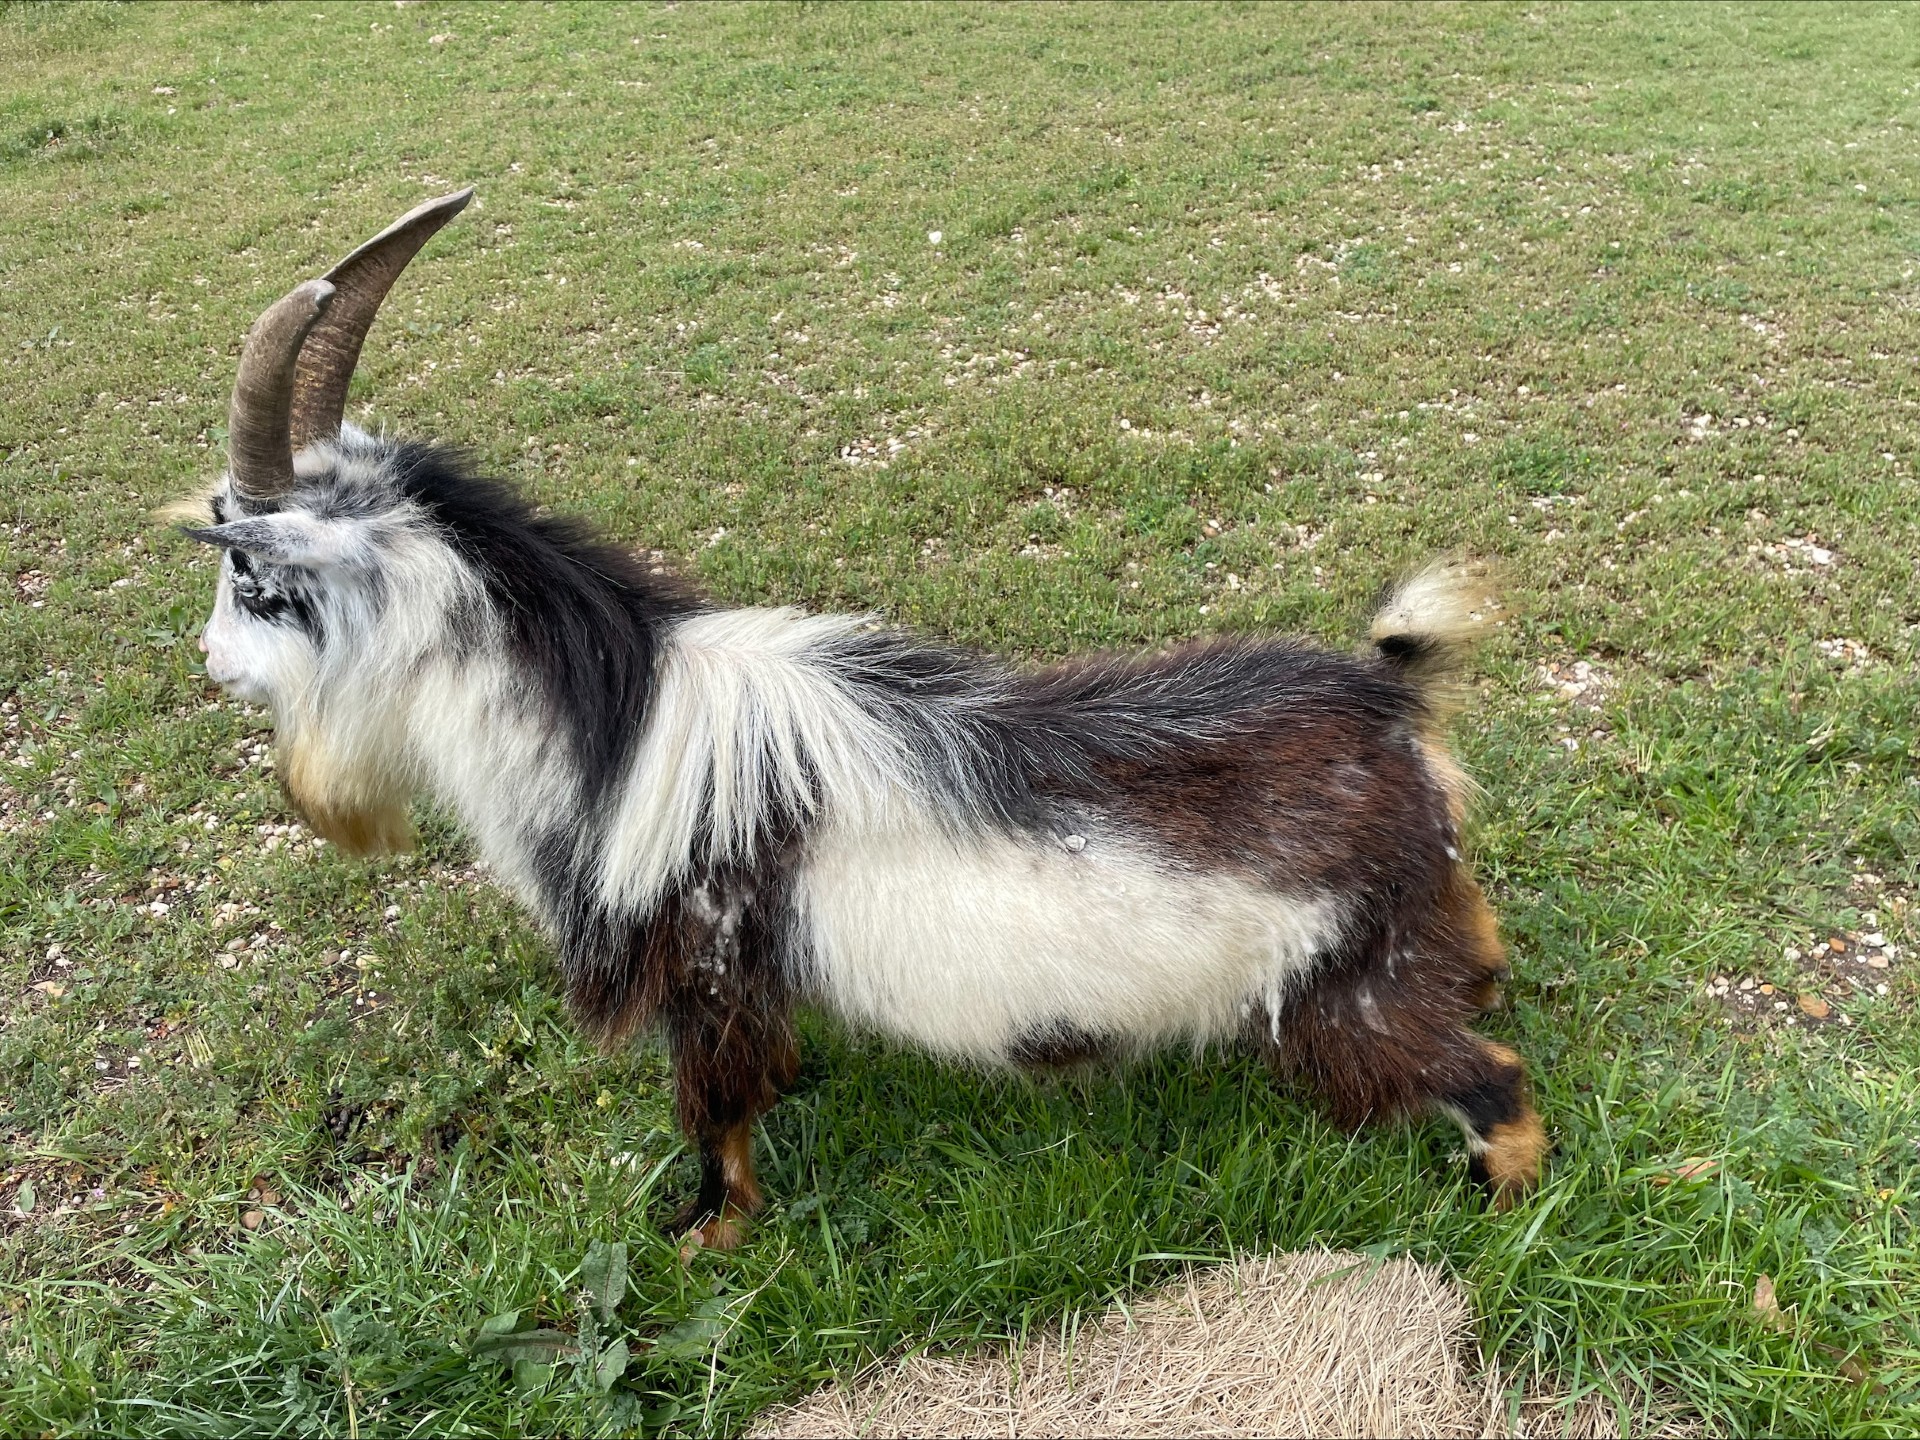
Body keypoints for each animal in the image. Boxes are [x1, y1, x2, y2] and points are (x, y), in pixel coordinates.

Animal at [173, 191, 1545, 1250]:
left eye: (255, 580)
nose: (209, 660)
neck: (610, 729)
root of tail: (1393, 698)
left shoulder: (706, 971)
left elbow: (715, 1118)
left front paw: (708, 1239)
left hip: (1341, 995)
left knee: (1494, 1086)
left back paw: (1500, 1207)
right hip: (1412, 922)